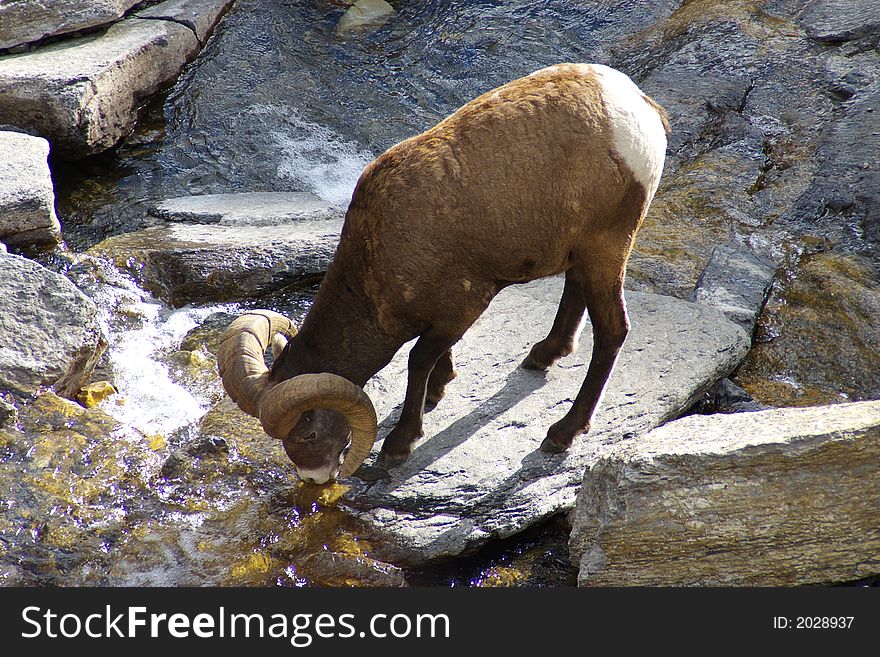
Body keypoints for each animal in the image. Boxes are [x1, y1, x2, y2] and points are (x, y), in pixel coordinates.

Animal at [218, 64, 668, 482]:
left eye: (308, 434)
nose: (313, 478)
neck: (377, 260)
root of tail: (640, 107)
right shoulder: (444, 317)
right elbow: (436, 358)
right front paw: (440, 388)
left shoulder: (463, 308)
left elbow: (418, 359)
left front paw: (399, 444)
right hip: (582, 251)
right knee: (575, 292)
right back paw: (542, 356)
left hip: (607, 247)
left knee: (612, 332)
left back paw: (562, 434)